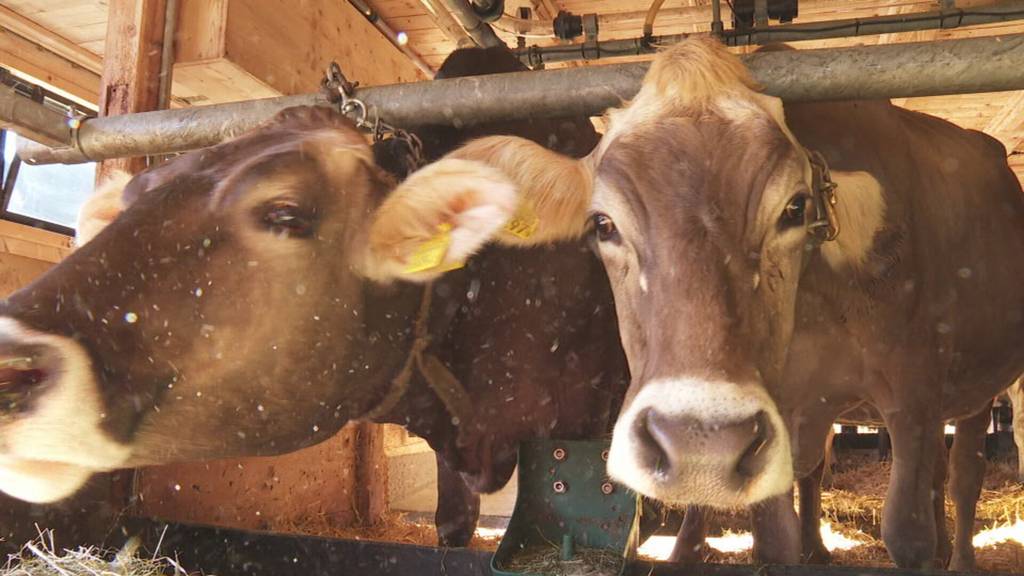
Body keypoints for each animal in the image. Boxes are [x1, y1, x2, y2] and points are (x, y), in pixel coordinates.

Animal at [416, 36, 1024, 569]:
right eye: (603, 224)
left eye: (796, 208)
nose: (697, 446)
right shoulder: (788, 411)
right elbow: (774, 541)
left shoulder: (913, 390)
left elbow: (908, 533)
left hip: (975, 387)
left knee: (962, 477)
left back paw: (959, 559)